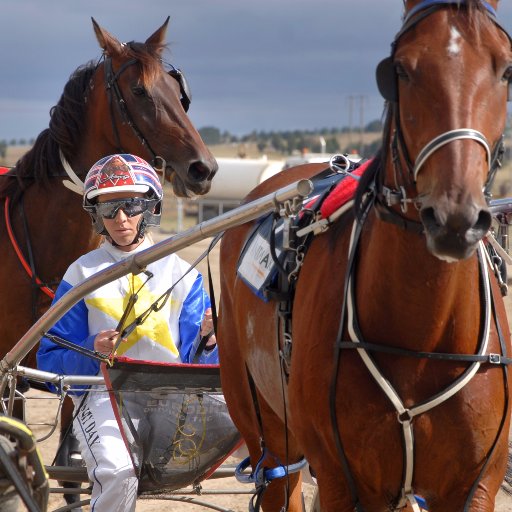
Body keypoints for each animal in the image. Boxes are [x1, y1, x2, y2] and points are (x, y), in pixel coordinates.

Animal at [217, 2, 512, 510]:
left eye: (506, 69)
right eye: (401, 70)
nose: (454, 216)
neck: (420, 336)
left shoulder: (475, 485)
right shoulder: (344, 480)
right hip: (265, 429)